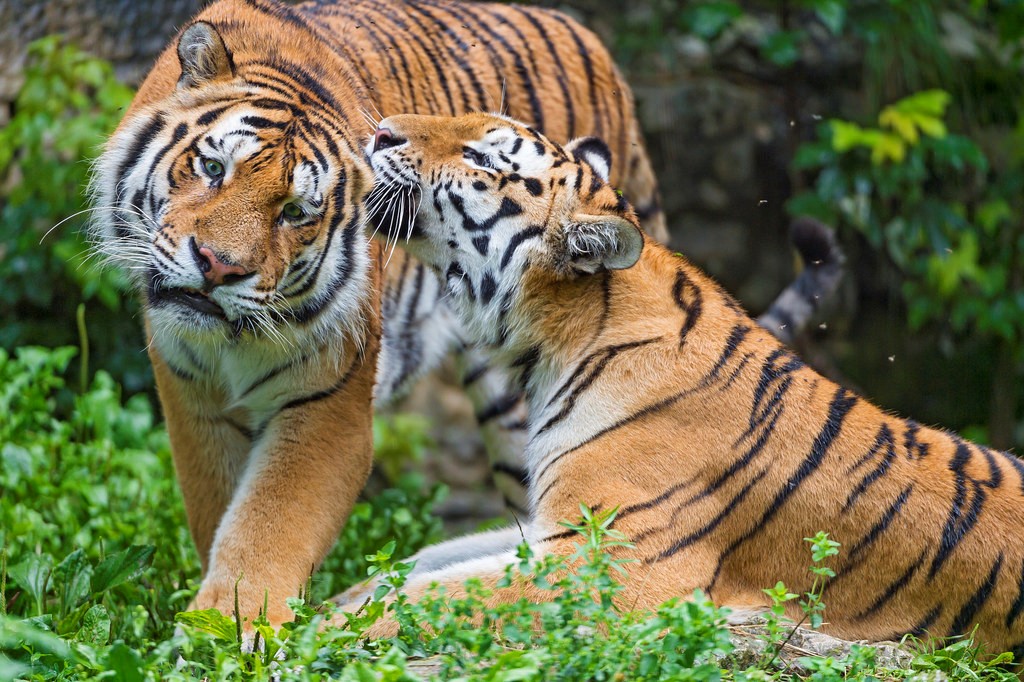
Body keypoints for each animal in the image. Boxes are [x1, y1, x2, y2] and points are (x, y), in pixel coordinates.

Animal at [344, 110, 1024, 657]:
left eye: (482, 158)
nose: (380, 132)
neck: (561, 338)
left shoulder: (610, 559)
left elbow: (438, 596)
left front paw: (333, 629)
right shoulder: (548, 531)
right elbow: (416, 567)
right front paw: (335, 600)